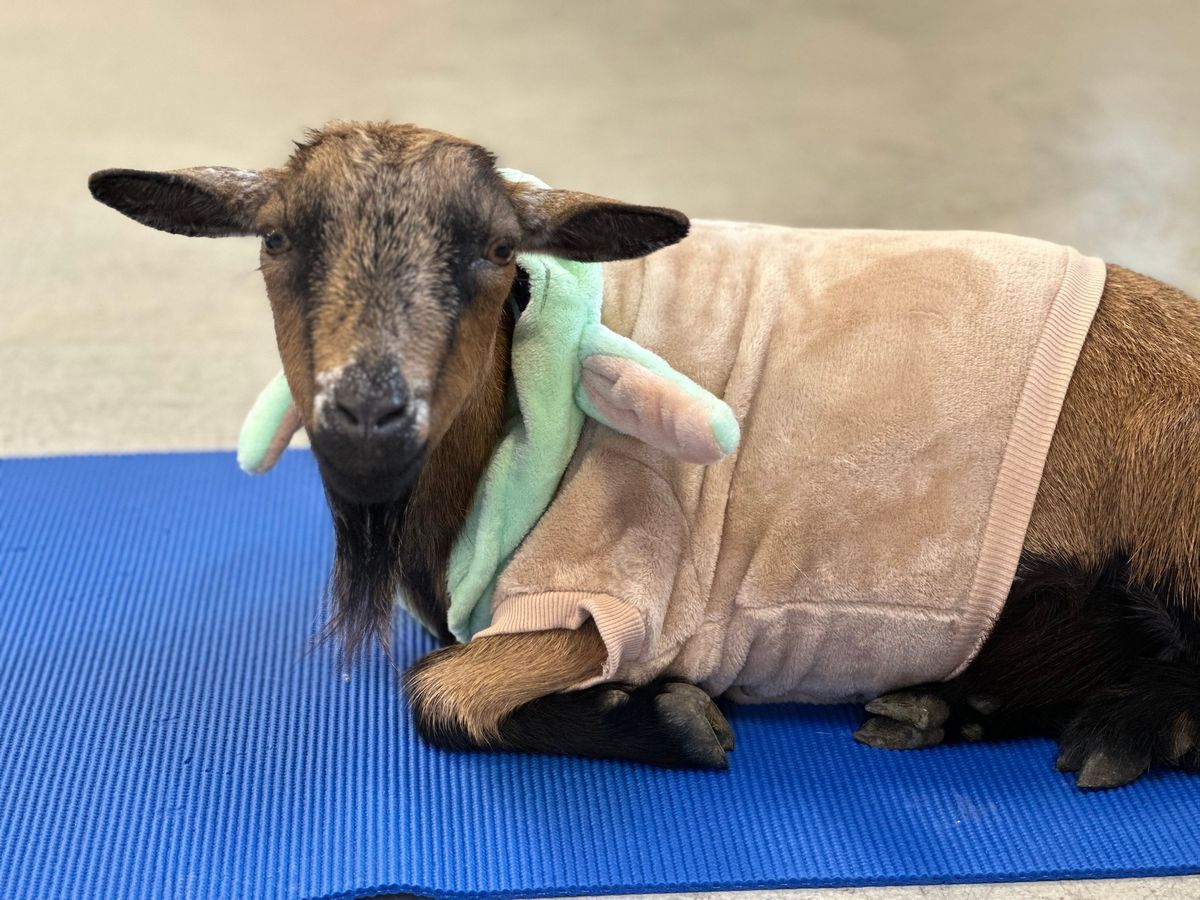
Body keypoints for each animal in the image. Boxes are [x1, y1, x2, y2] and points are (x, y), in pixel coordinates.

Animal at [88, 121, 1200, 787]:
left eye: (497, 250)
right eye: (278, 240)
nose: (368, 410)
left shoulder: (607, 594)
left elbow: (442, 694)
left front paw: (672, 719)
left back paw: (1119, 736)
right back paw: (945, 708)